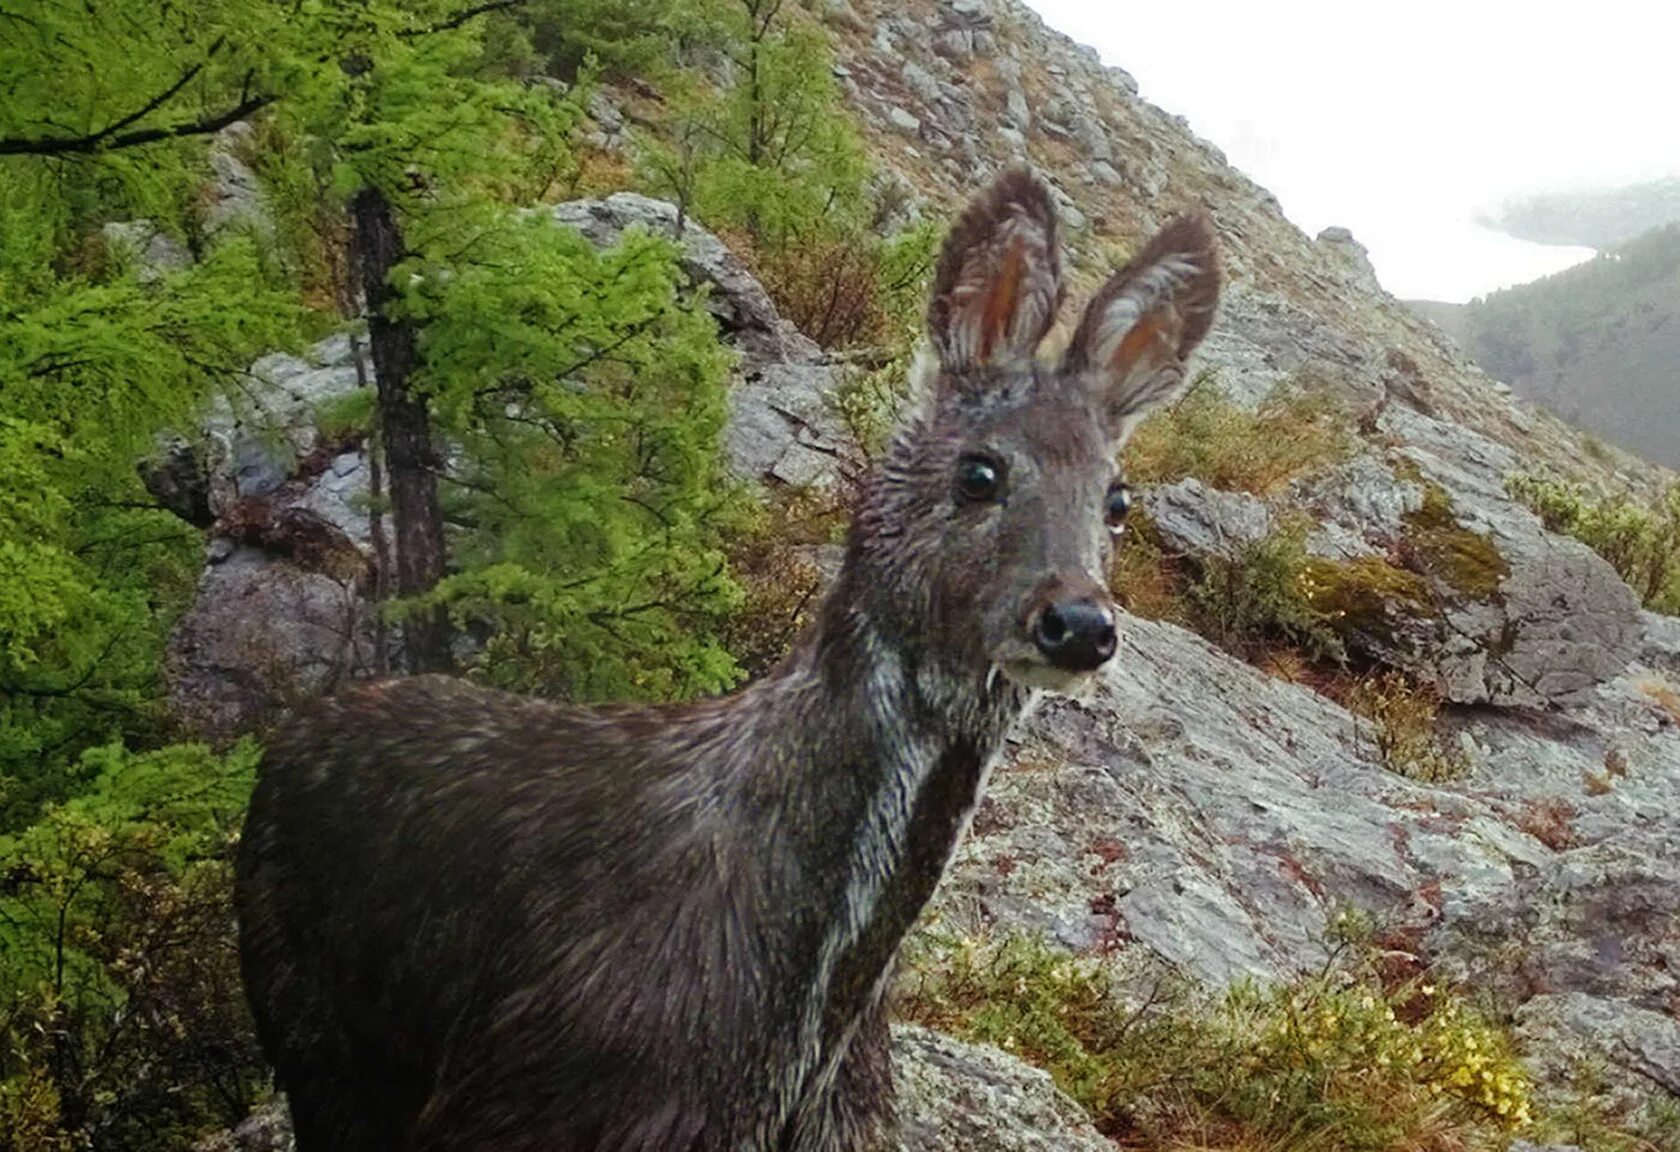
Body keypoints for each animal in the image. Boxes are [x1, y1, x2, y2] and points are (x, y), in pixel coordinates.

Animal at [236, 169, 1216, 1152]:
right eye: (980, 471)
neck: (798, 1033)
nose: (1079, 624)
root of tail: (290, 733)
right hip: (308, 1025)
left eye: (1118, 501)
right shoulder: (516, 1105)